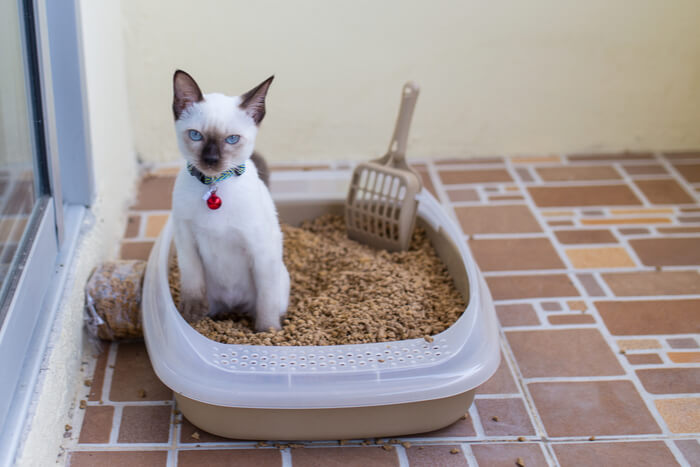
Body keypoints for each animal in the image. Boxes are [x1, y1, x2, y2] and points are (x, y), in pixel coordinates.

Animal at [170, 70, 290, 332]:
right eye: (196, 135)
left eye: (232, 139)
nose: (211, 160)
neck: (214, 185)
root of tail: (233, 307)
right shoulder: (185, 238)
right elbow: (192, 279)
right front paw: (192, 313)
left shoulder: (260, 249)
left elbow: (266, 301)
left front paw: (266, 332)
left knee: (268, 302)